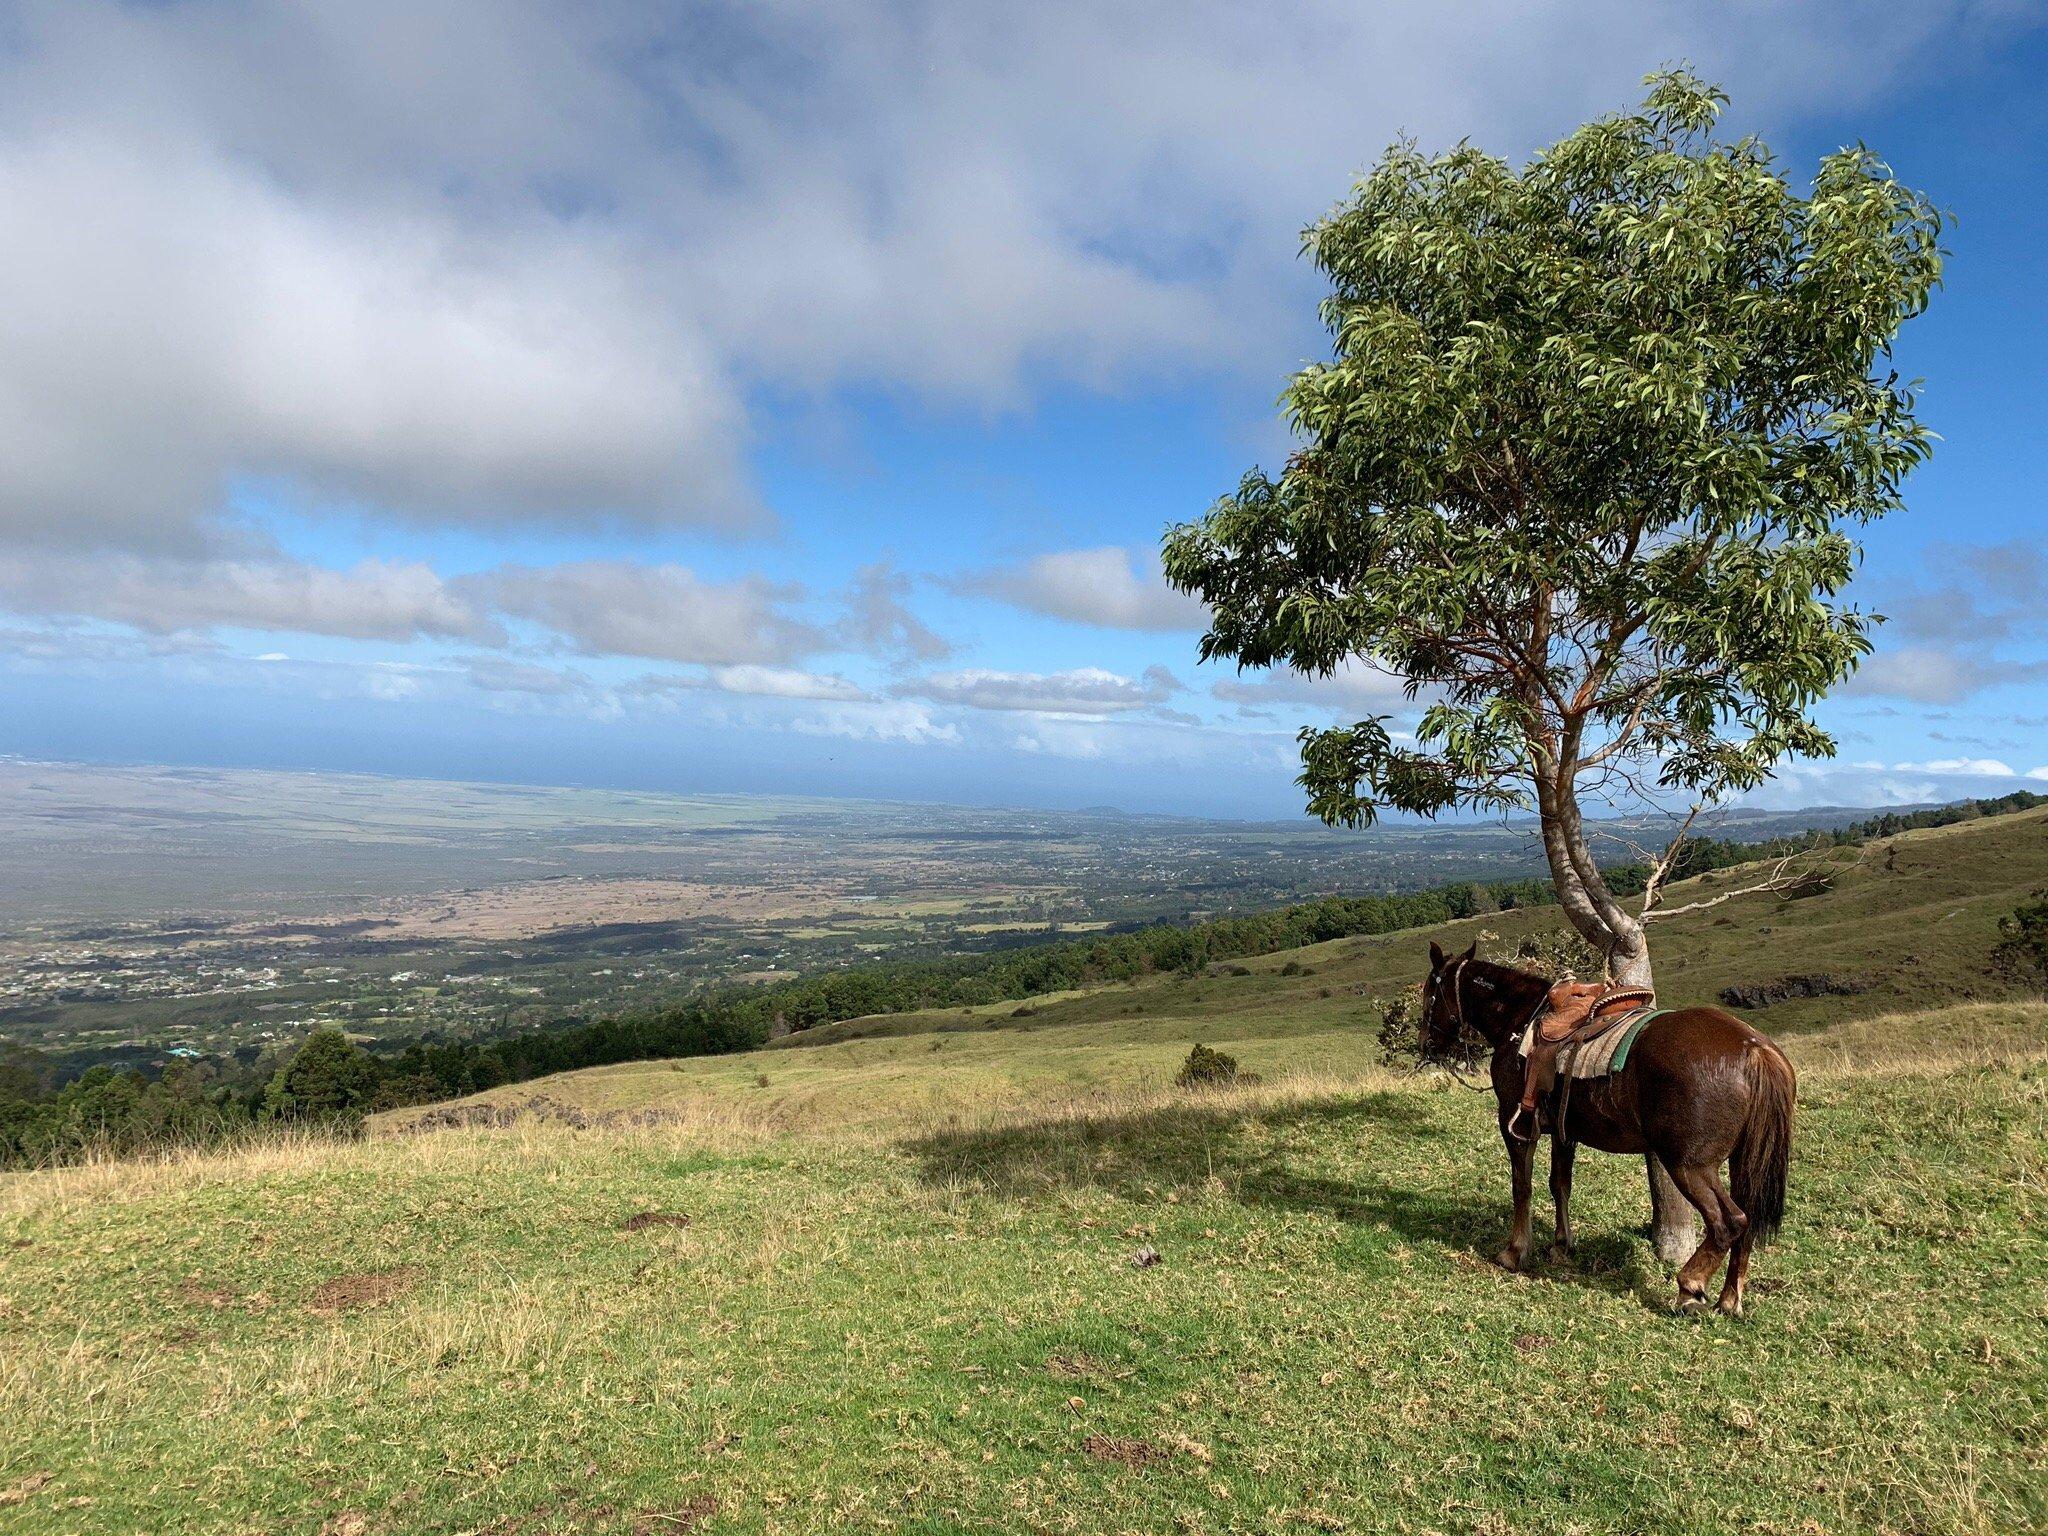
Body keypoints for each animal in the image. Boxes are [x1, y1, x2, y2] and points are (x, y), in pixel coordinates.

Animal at [1425, 946, 1794, 1318]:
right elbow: (1560, 1185)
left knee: (1729, 1221)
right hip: (1742, 1160)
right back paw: (1730, 1299)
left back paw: (1690, 1286)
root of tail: (1754, 1048)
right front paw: (1561, 1245)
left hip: (1689, 1165)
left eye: (1430, 993)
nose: (1426, 1043)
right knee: (1747, 1219)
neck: (1519, 1020)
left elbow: (1522, 1187)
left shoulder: (1516, 1126)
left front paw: (1515, 1252)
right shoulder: (1565, 1132)